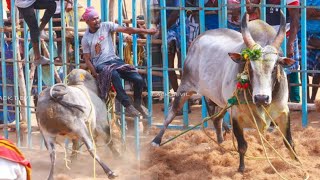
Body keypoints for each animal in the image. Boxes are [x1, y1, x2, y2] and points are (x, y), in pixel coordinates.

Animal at [152, 12, 298, 172]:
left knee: (217, 119)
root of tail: (199, 38)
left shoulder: (283, 111)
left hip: (218, 99)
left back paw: (221, 145)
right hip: (186, 86)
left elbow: (289, 142)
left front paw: (297, 163)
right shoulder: (235, 114)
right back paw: (156, 140)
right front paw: (241, 168)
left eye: (274, 68)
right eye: (250, 67)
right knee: (172, 113)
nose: (261, 98)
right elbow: (242, 145)